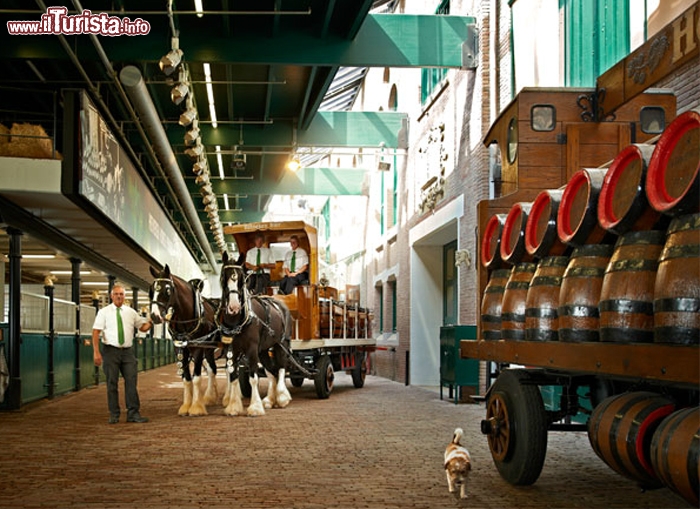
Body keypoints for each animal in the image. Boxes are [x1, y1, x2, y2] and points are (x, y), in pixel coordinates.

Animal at [149, 264, 220, 414]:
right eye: (152, 290)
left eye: (167, 289)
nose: (154, 316)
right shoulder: (180, 348)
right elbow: (186, 378)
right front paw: (186, 405)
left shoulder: (198, 347)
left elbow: (196, 378)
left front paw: (196, 408)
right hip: (209, 349)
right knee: (212, 370)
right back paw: (210, 397)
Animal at [217, 251, 296, 416]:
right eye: (223, 276)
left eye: (241, 279)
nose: (234, 307)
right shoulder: (231, 350)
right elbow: (233, 376)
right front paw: (233, 407)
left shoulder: (252, 349)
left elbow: (253, 377)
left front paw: (255, 407)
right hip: (264, 350)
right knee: (272, 371)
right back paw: (270, 400)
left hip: (281, 344)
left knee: (281, 367)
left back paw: (282, 397)